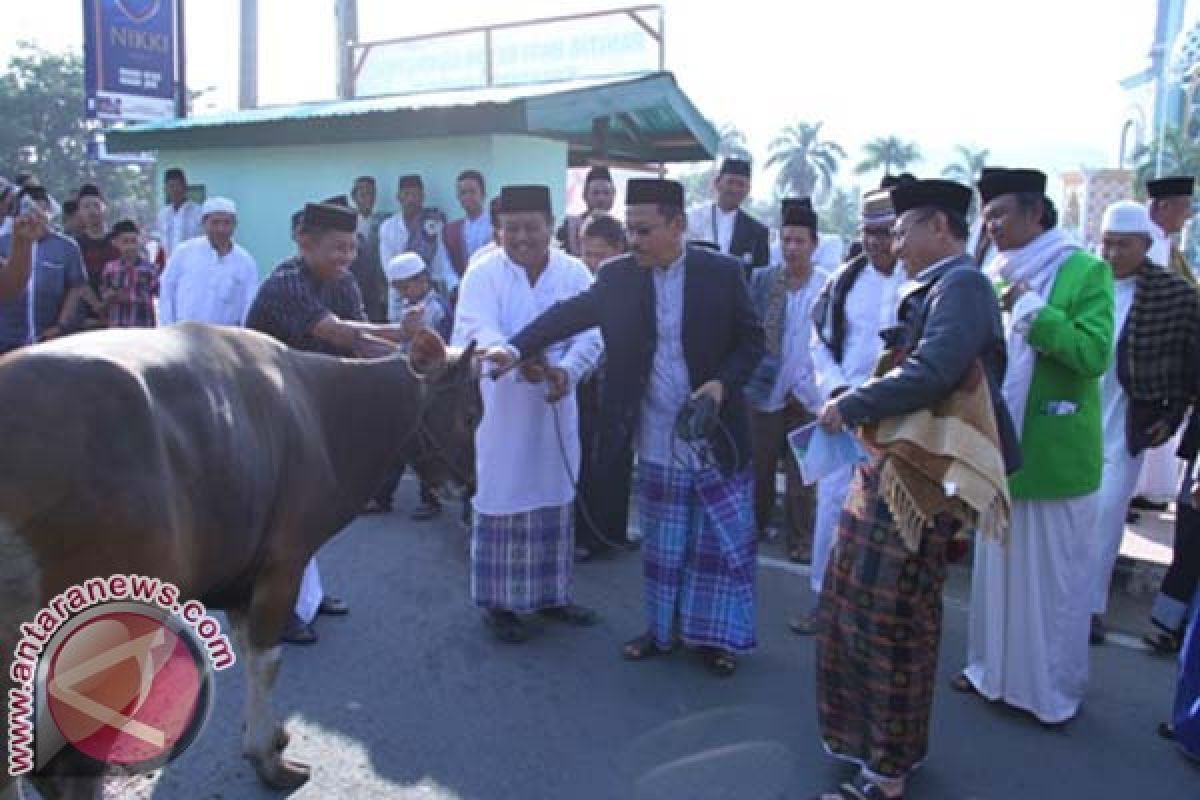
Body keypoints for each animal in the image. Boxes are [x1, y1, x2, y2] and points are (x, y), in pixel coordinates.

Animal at [1, 321, 477, 796]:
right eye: (471, 414)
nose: (470, 485)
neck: (319, 412)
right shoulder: (284, 564)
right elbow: (268, 661)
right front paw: (268, 757)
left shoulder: (240, 577)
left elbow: (248, 651)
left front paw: (266, 734)